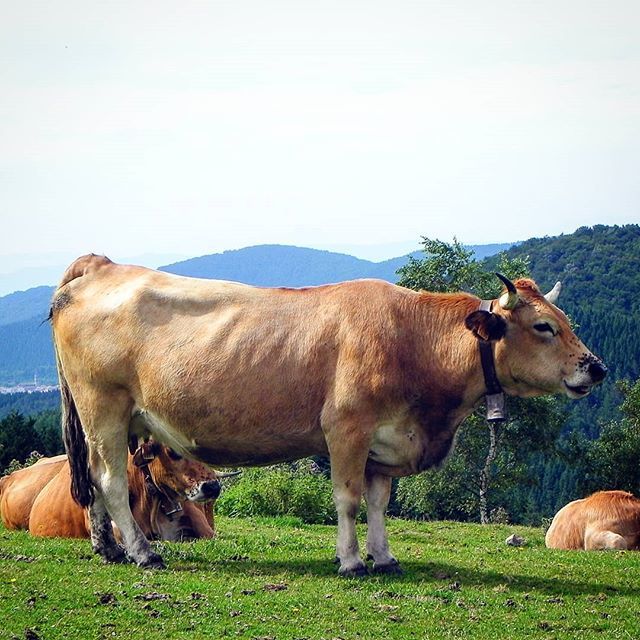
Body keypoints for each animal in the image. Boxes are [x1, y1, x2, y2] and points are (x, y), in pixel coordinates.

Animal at [50, 254, 606, 575]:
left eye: (563, 320)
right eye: (543, 327)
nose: (597, 367)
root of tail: (101, 266)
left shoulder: (387, 440)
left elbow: (380, 503)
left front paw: (384, 557)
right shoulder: (346, 429)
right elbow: (348, 499)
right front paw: (352, 560)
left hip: (107, 419)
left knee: (94, 480)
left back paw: (109, 548)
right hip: (104, 407)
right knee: (111, 480)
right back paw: (144, 553)